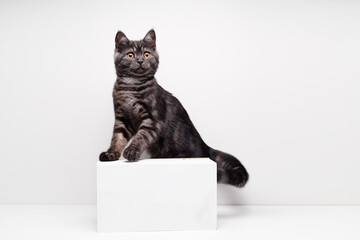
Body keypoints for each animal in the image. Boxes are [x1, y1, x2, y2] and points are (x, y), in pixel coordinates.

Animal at [100, 29, 249, 188]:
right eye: (130, 55)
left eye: (146, 54)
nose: (140, 61)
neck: (130, 86)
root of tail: (205, 146)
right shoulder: (122, 118)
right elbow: (117, 138)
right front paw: (111, 154)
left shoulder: (153, 119)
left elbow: (140, 136)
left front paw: (132, 152)